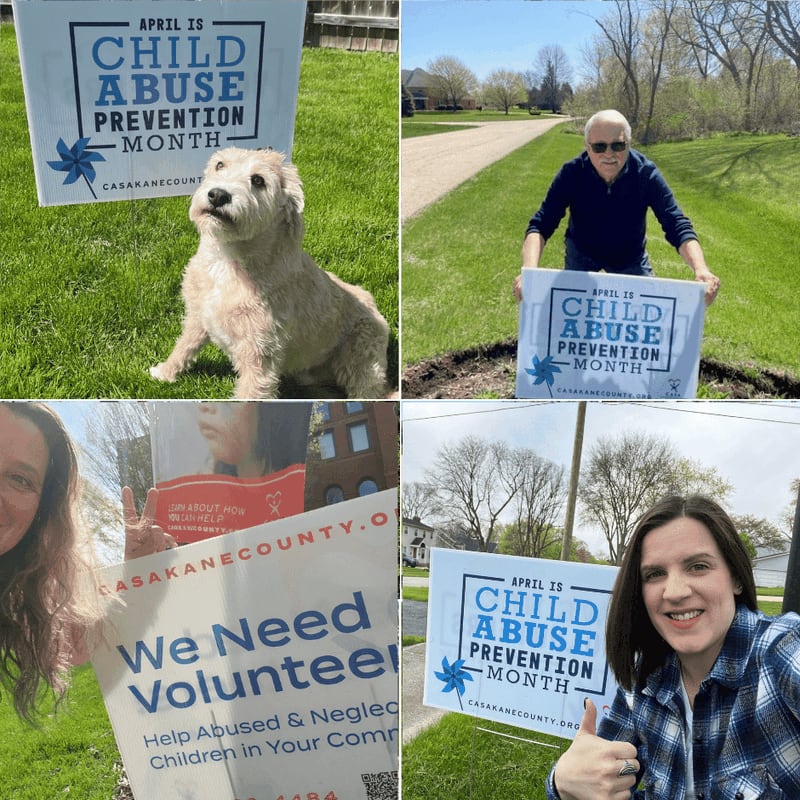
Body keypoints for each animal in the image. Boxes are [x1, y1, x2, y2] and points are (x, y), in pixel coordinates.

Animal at [150, 147, 390, 396]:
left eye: (258, 180)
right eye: (219, 165)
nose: (217, 195)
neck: (227, 262)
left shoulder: (259, 354)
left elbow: (250, 393)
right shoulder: (197, 316)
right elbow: (185, 345)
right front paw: (165, 371)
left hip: (362, 358)